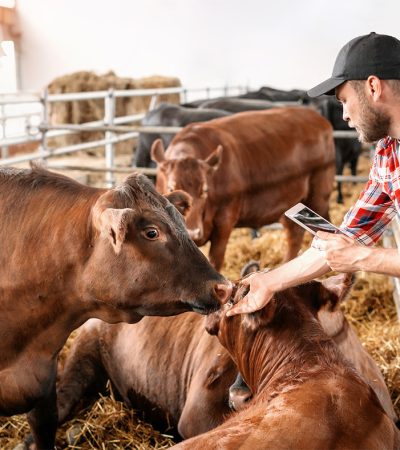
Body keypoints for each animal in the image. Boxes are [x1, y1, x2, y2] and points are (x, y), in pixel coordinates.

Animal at [150, 108, 334, 270]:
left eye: (205, 190)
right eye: (171, 187)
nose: (193, 233)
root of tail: (317, 118)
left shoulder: (225, 221)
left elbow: (215, 260)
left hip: (319, 195)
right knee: (294, 234)